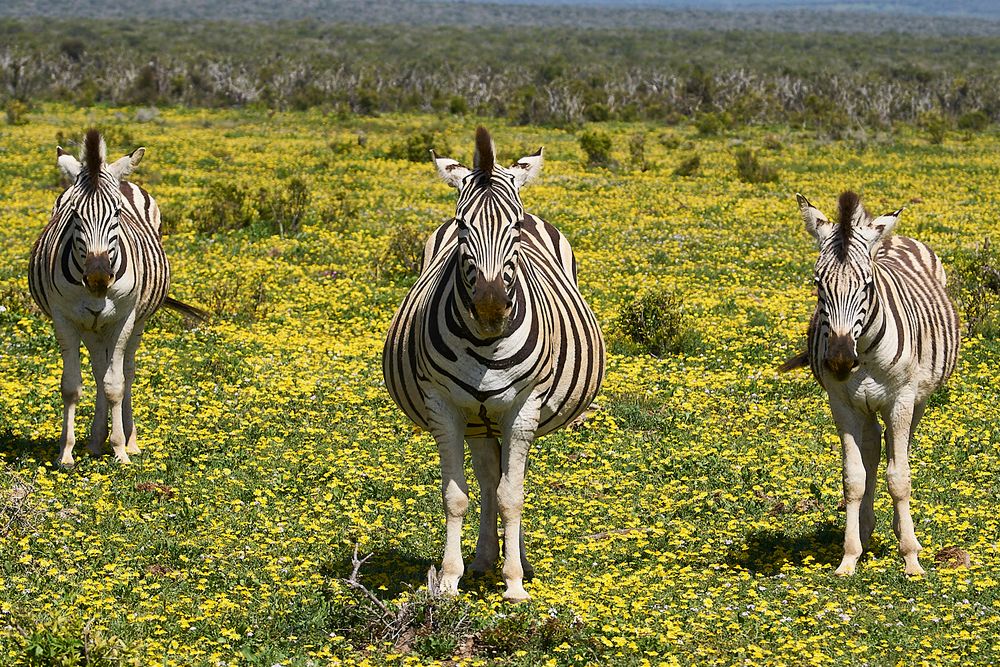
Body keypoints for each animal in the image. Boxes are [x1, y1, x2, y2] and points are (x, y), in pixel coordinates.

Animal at [29, 129, 205, 470]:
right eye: (73, 213)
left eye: (118, 213)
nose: (98, 278)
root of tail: (123, 176)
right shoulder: (64, 317)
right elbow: (72, 386)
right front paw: (66, 453)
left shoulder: (124, 317)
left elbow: (116, 385)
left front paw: (121, 450)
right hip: (92, 326)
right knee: (100, 371)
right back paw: (95, 441)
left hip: (136, 321)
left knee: (126, 372)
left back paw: (130, 441)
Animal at [380, 128, 600, 604]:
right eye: (463, 226)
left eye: (514, 227)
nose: (490, 308)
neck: (485, 342)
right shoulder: (443, 405)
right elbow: (457, 496)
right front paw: (448, 580)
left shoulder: (525, 407)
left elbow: (512, 495)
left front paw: (514, 583)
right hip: (479, 419)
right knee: (486, 479)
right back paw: (483, 559)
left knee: (505, 482)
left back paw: (516, 562)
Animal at [788, 190, 960, 576]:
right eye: (818, 283)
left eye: (867, 285)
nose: (839, 359)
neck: (863, 352)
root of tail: (891, 236)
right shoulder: (842, 403)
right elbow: (854, 477)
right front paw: (849, 557)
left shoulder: (901, 399)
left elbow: (899, 478)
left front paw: (911, 559)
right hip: (866, 406)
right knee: (873, 449)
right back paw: (866, 531)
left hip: (917, 398)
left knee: (899, 448)